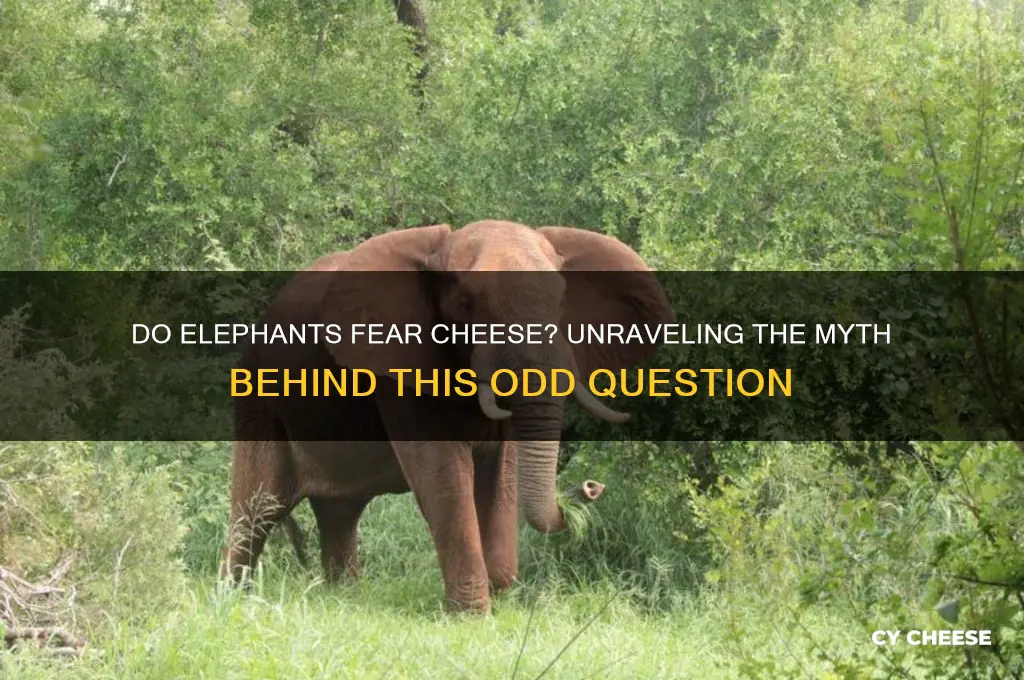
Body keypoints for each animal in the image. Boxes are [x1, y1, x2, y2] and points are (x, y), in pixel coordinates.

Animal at [221, 220, 674, 613]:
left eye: (561, 301)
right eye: (467, 305)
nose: (592, 488)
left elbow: (503, 473)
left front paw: (501, 598)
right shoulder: (401, 368)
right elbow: (443, 475)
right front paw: (473, 615)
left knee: (338, 511)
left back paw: (343, 598)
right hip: (259, 402)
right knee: (257, 507)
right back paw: (232, 600)